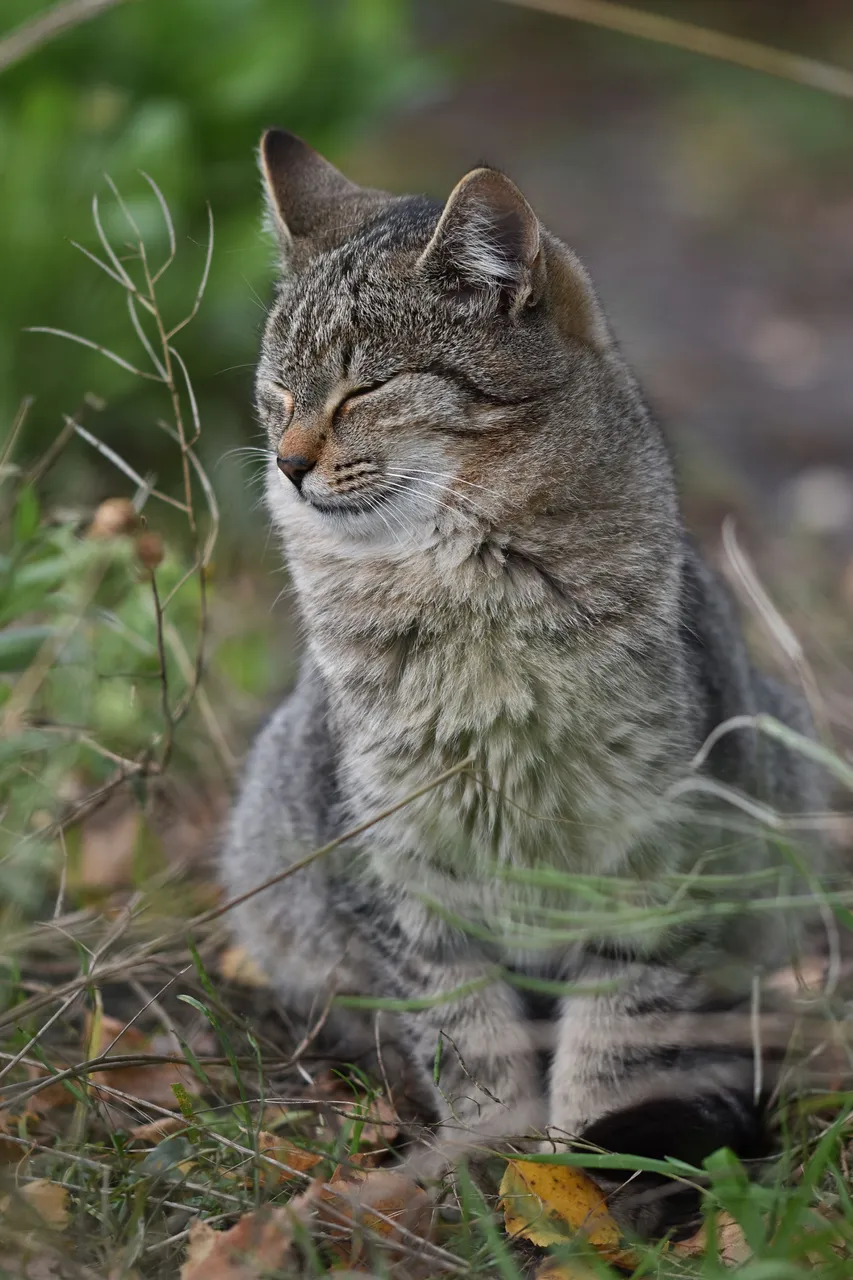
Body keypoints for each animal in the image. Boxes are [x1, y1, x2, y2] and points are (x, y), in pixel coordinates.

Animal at [220, 127, 824, 1228]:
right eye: (276, 394)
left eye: (363, 388)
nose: (285, 462)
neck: (470, 603)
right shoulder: (400, 868)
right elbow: (468, 1036)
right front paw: (495, 1162)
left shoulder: (655, 868)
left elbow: (614, 1038)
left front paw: (578, 1175)